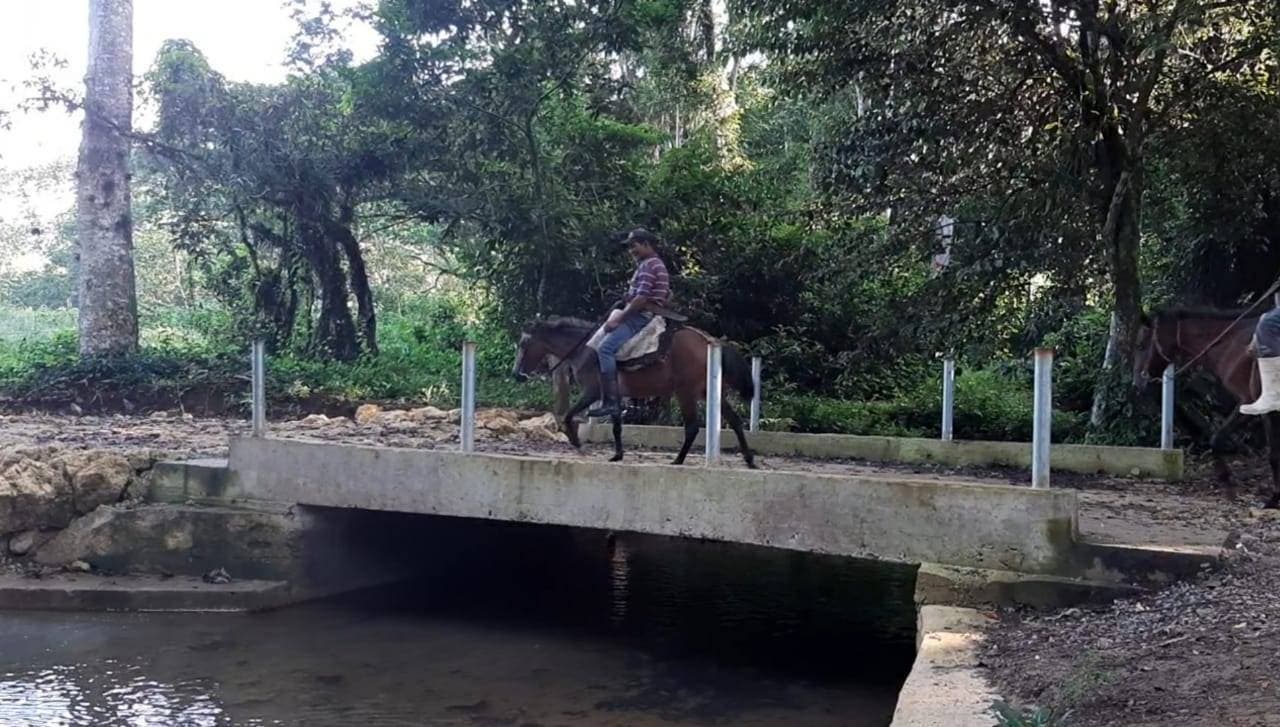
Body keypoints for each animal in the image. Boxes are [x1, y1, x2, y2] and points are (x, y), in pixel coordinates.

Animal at [512, 316, 752, 465]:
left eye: (523, 344)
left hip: (686, 393)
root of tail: (708, 340)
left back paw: (678, 460)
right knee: (735, 421)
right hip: (708, 393)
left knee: (692, 427)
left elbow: (568, 415)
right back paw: (750, 460)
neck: (586, 350)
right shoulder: (614, 397)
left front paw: (575, 441)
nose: (516, 374)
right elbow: (617, 427)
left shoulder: (592, 392)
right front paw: (617, 455)